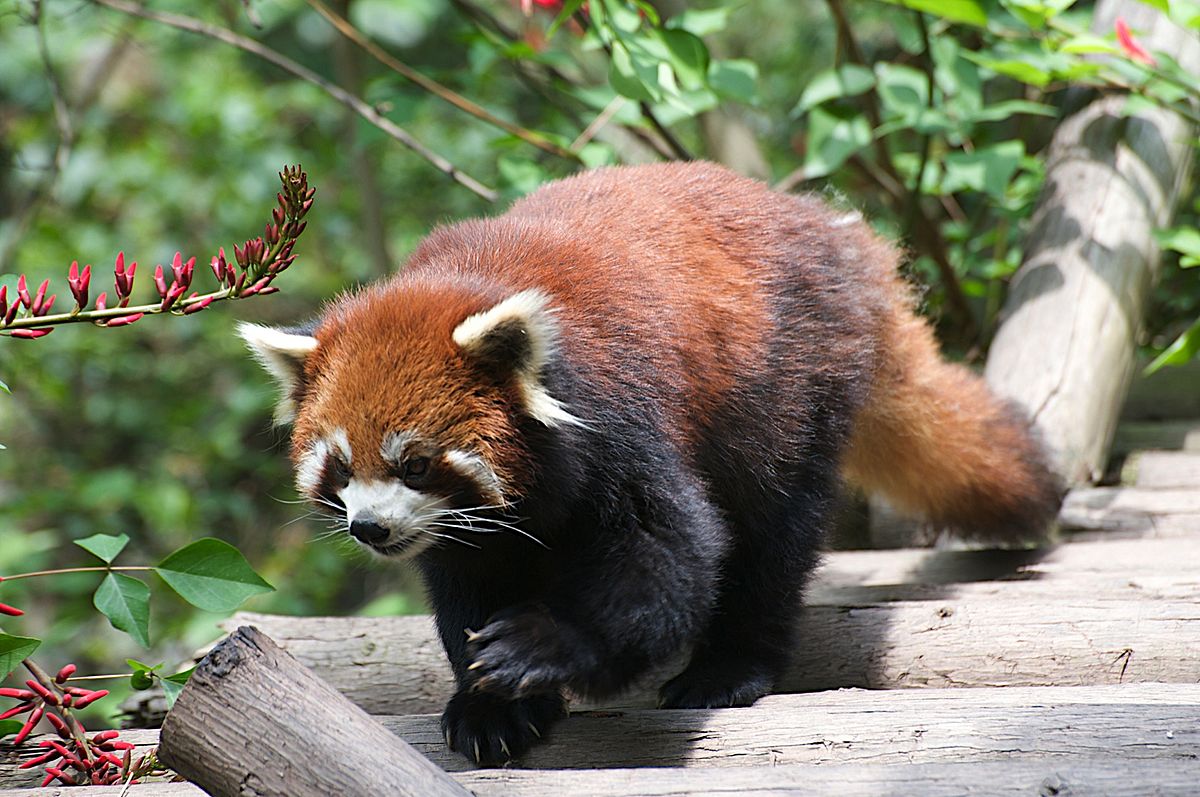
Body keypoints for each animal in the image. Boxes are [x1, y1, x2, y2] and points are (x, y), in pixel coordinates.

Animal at [241, 160, 1060, 768]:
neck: (466, 281)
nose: (370, 529)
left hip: (785, 386)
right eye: (340, 469)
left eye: (413, 464)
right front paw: (490, 706)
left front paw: (543, 646)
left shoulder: (618, 417)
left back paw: (730, 666)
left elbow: (670, 557)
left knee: (771, 533)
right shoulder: (470, 529)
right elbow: (468, 590)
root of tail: (838, 239)